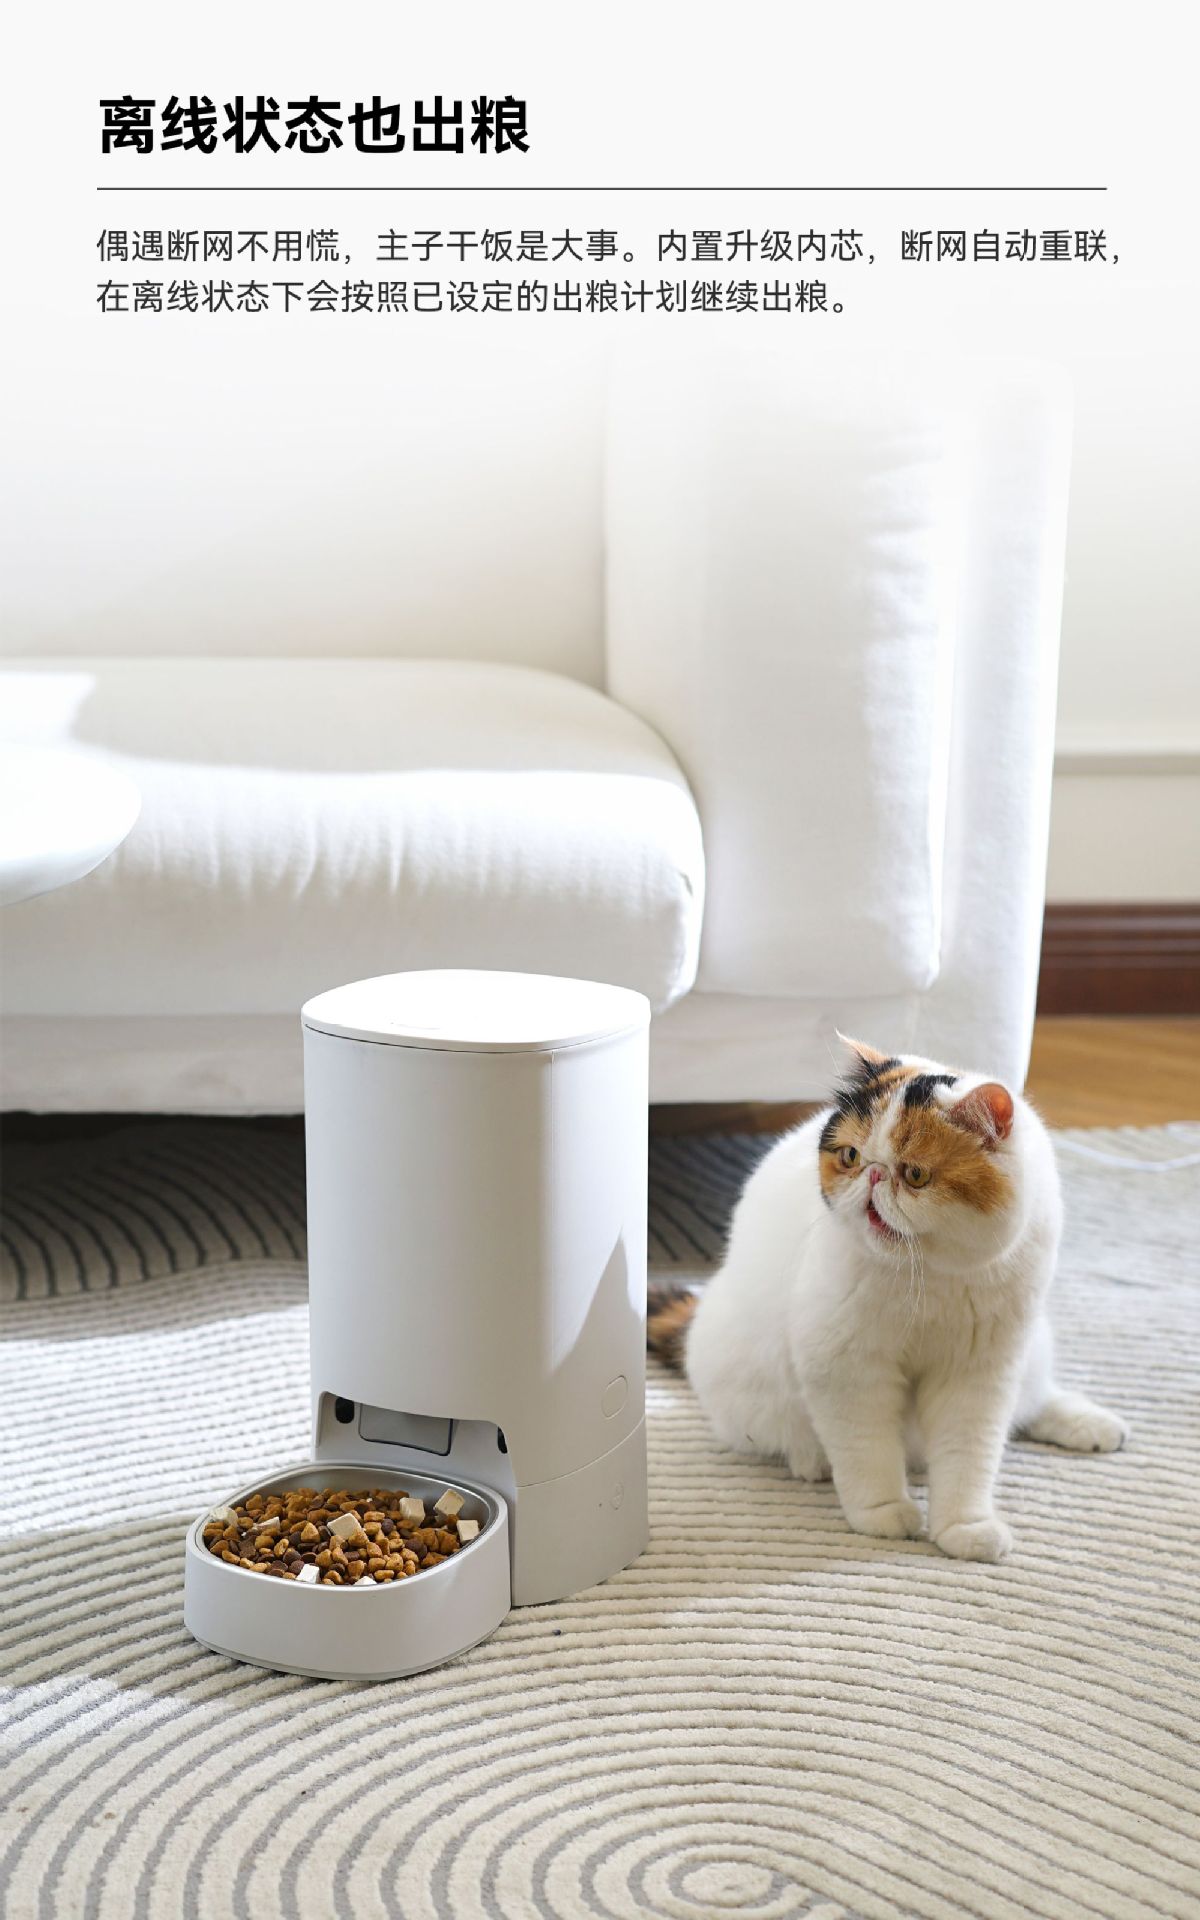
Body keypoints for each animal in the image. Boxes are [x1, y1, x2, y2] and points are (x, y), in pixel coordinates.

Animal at [647, 1037, 1127, 1561]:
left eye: (915, 1174)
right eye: (851, 1156)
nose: (874, 1177)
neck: (931, 1279)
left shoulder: (981, 1369)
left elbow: (970, 1454)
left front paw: (965, 1527)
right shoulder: (845, 1365)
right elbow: (866, 1449)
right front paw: (882, 1515)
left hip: (1032, 1348)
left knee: (1033, 1402)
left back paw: (1094, 1425)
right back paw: (811, 1459)